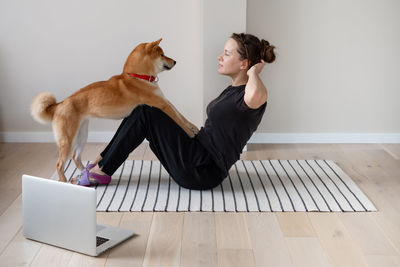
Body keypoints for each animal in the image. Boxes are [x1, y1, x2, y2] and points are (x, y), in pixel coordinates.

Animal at [31, 38, 198, 183]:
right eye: (162, 54)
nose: (175, 61)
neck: (138, 77)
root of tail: (60, 104)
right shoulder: (160, 104)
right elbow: (179, 121)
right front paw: (190, 135)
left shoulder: (165, 101)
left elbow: (182, 117)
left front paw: (195, 129)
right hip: (68, 139)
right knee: (59, 164)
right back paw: (65, 182)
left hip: (81, 135)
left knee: (76, 158)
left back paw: (86, 173)